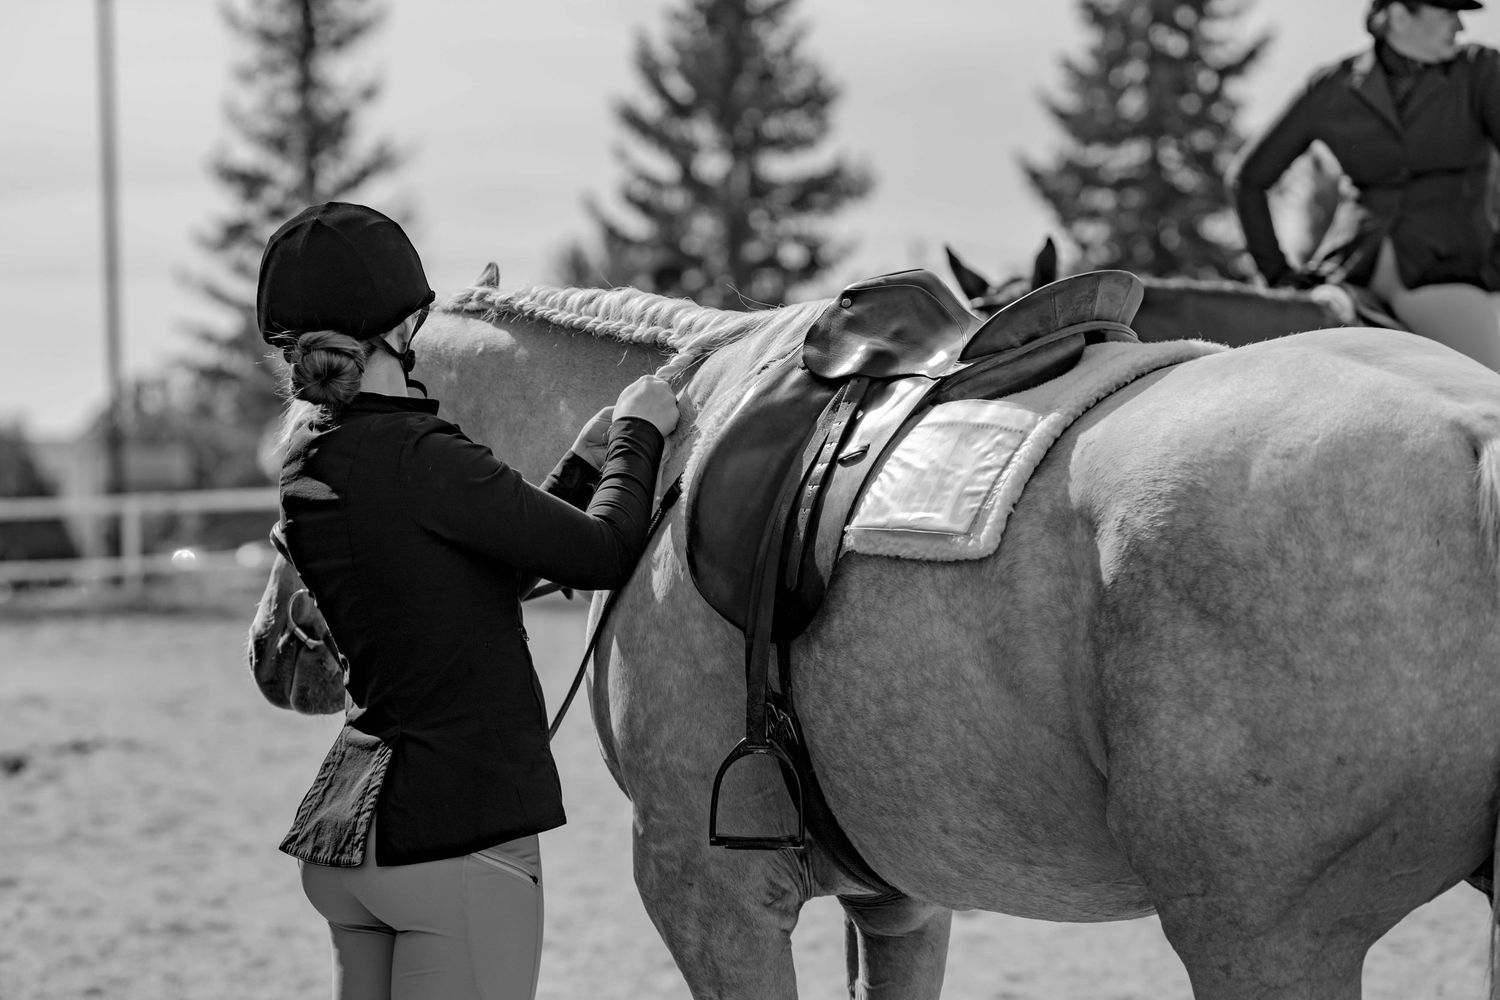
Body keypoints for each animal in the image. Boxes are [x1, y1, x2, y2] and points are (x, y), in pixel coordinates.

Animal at [249, 266, 1500, 1000]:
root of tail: (1472, 428)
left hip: (1264, 937)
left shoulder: (706, 895)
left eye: (293, 440)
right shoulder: (901, 898)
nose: (274, 651)